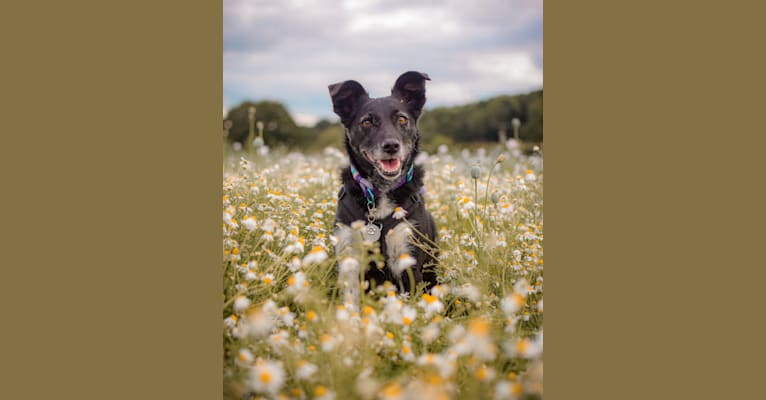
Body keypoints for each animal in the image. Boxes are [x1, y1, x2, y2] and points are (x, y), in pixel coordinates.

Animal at [328, 70, 438, 298]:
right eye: (367, 122)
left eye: (402, 119)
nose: (391, 146)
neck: (382, 190)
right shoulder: (349, 259)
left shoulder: (407, 260)